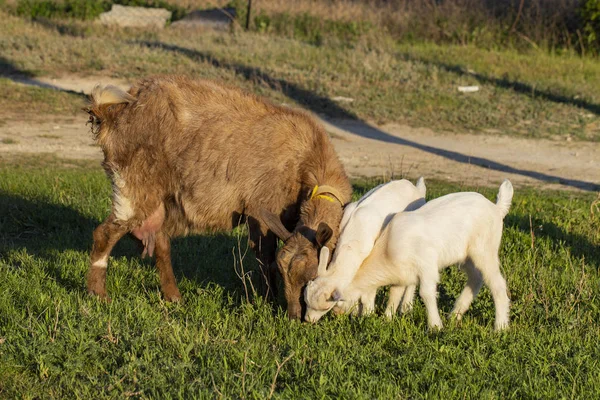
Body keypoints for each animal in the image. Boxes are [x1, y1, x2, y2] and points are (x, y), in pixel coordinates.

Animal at [83, 74, 352, 318]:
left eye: (311, 277)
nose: (295, 317)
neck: (307, 158)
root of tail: (111, 112)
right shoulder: (262, 210)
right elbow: (264, 256)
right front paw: (267, 299)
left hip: (161, 197)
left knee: (160, 242)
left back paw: (174, 297)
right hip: (133, 185)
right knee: (104, 234)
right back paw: (99, 294)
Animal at [304, 178, 426, 322]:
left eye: (326, 308)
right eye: (306, 302)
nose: (308, 320)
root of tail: (415, 188)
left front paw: (367, 314)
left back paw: (406, 308)